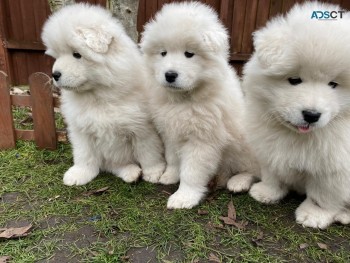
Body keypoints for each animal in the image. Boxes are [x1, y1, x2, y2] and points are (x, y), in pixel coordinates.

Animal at [41, 3, 165, 187]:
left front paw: (154, 172)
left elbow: (148, 152)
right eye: (57, 55)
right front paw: (79, 174)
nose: (55, 74)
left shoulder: (142, 128)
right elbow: (84, 155)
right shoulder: (81, 130)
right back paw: (131, 172)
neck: (98, 95)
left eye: (77, 54)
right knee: (117, 165)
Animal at [140, 1, 258, 209]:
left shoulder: (202, 140)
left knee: (254, 171)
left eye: (189, 54)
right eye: (163, 53)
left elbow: (191, 172)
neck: (185, 99)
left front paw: (184, 197)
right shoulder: (171, 132)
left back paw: (239, 182)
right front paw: (170, 175)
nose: (170, 75)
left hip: (247, 146)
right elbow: (173, 158)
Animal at [245, 1, 350, 229]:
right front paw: (267, 193)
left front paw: (313, 215)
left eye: (333, 84)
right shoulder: (269, 148)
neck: (297, 136)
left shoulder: (335, 167)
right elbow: (272, 174)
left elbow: (323, 195)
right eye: (294, 80)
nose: (311, 115)